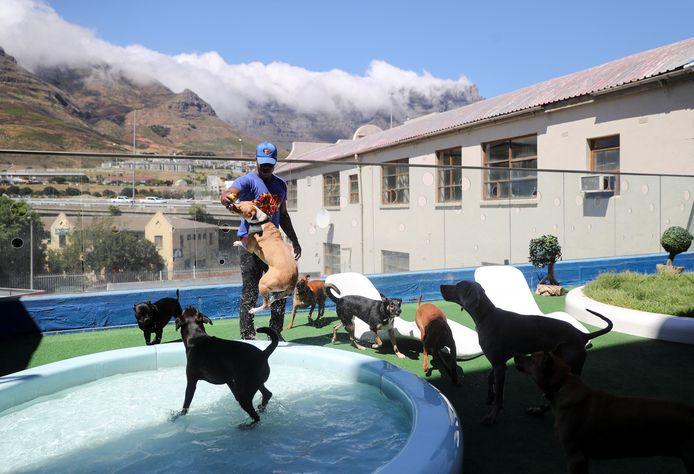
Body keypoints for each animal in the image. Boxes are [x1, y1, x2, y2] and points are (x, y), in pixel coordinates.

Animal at [440, 280, 616, 424]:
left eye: (458, 285)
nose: (441, 286)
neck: (486, 315)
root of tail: (582, 334)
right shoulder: (499, 362)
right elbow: (490, 378)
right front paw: (489, 395)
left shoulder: (500, 366)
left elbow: (499, 397)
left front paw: (492, 416)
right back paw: (538, 410)